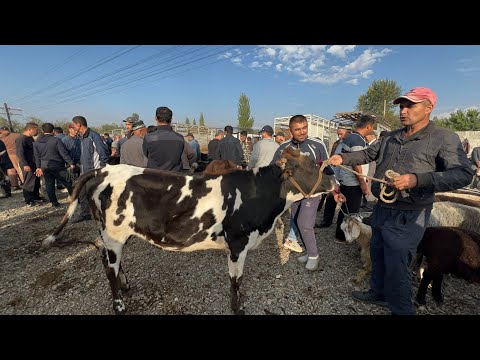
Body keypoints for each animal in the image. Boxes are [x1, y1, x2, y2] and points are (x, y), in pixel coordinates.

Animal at [43, 148, 336, 314]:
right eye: (311, 167)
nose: (333, 182)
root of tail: (103, 169)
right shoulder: (238, 243)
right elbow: (236, 280)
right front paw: (237, 307)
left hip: (112, 235)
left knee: (109, 262)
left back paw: (126, 287)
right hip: (113, 233)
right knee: (109, 269)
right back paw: (119, 306)